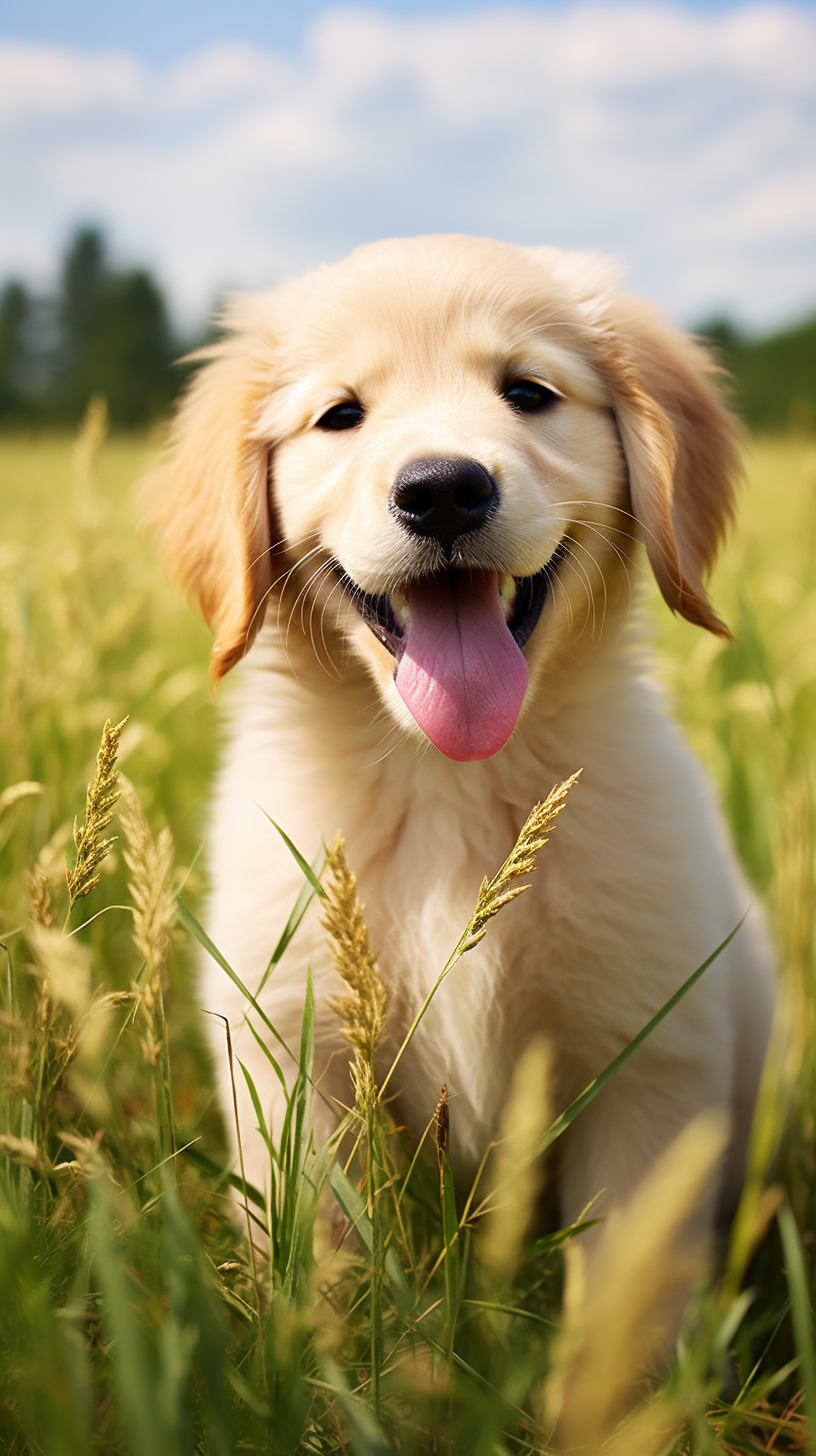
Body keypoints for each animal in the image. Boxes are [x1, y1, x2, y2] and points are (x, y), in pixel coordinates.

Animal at [147, 232, 775, 1257]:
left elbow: (626, 1281)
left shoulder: (649, 1056)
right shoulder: (296, 1054)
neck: (449, 782)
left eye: (527, 392)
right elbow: (324, 1253)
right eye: (341, 415)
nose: (443, 490)